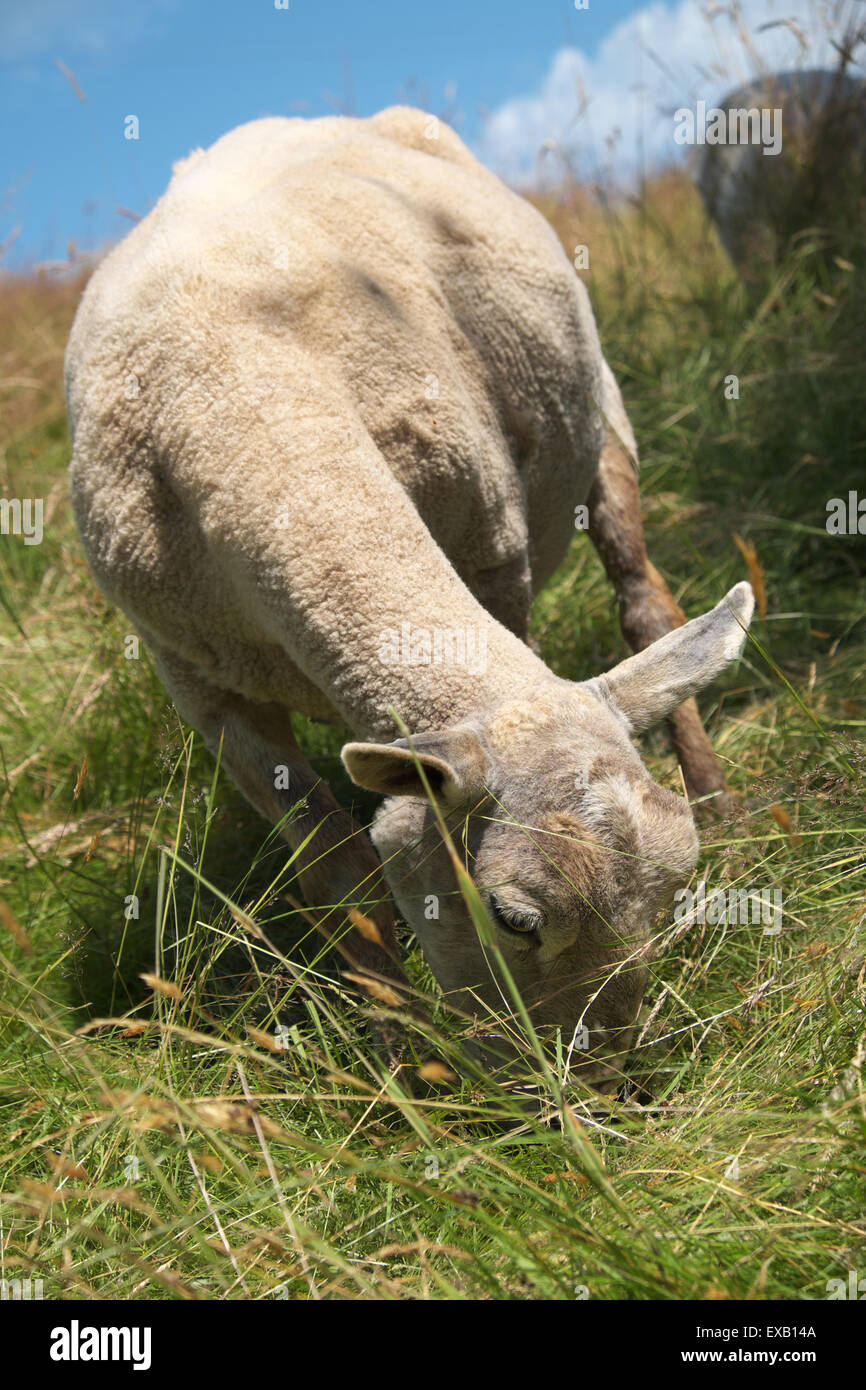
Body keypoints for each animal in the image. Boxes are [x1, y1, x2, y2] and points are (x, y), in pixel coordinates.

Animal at [64, 108, 750, 1084]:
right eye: (514, 919)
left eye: (676, 884)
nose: (598, 1092)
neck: (245, 395)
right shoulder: (202, 691)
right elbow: (334, 869)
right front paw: (396, 1062)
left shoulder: (494, 560)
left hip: (604, 419)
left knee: (643, 603)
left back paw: (721, 796)